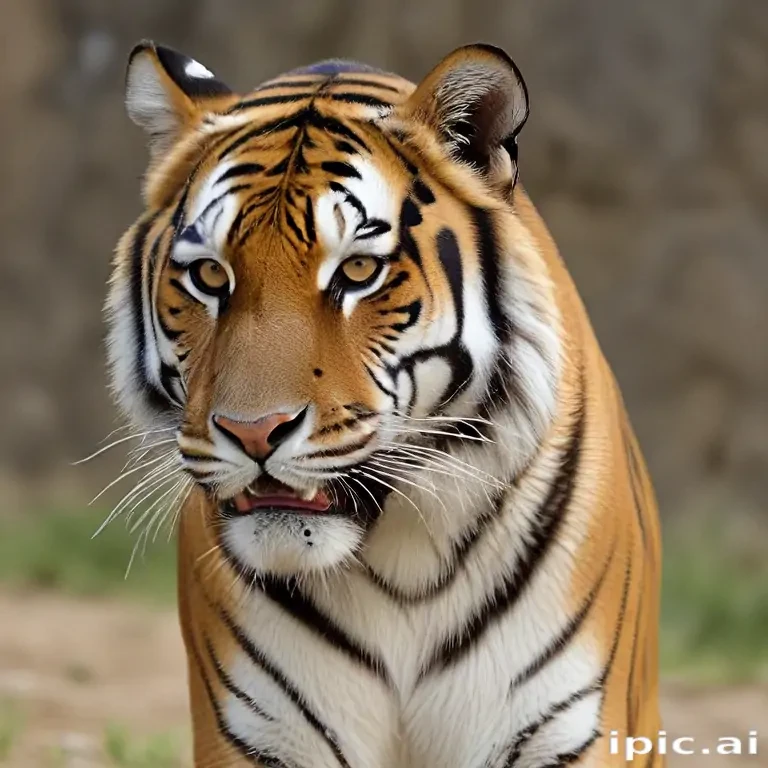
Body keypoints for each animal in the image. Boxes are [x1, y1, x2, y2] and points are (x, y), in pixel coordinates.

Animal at [104, 39, 663, 768]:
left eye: (358, 271)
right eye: (208, 276)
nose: (253, 433)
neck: (404, 572)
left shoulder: (565, 730)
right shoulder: (258, 735)